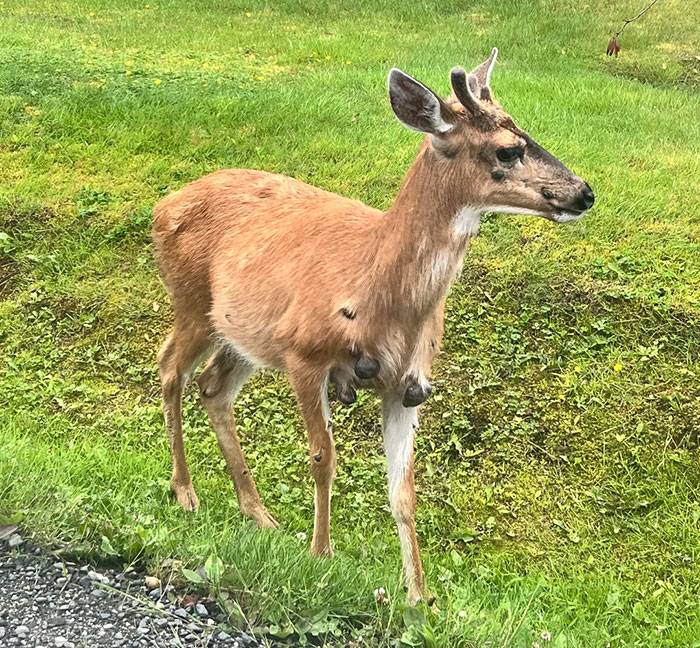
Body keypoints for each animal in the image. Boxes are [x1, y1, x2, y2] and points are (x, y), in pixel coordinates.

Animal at [152, 48, 595, 605]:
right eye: (508, 149)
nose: (584, 193)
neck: (374, 287)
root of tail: (161, 205)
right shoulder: (305, 354)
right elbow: (323, 456)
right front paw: (321, 556)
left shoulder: (408, 385)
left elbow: (403, 491)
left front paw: (418, 598)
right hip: (192, 300)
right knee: (170, 367)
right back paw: (185, 491)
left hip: (244, 335)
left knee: (212, 387)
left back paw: (259, 514)